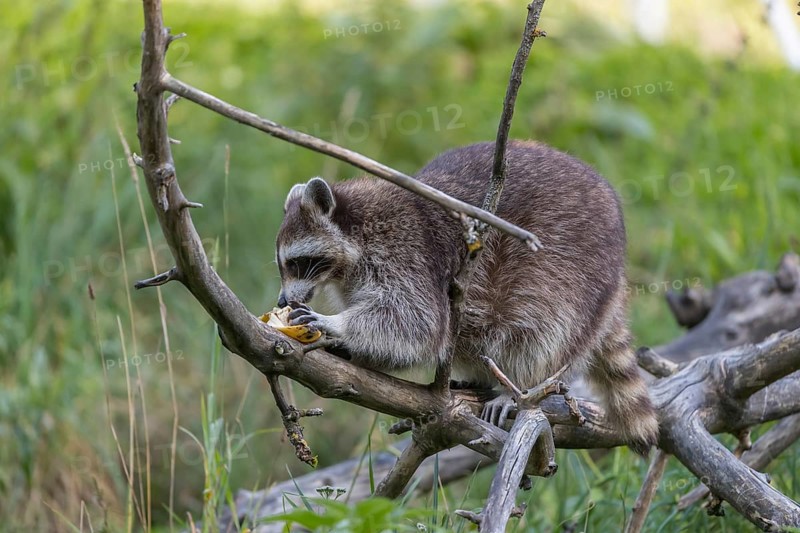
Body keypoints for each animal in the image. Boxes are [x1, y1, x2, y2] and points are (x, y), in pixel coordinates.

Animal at [275, 140, 659, 453]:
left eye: (297, 262)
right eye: (283, 265)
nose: (282, 302)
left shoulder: (407, 251)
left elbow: (416, 324)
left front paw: (333, 324)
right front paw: (345, 345)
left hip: (572, 264)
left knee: (541, 326)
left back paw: (521, 388)